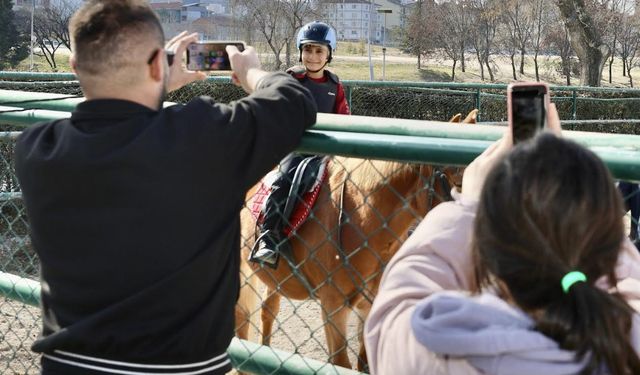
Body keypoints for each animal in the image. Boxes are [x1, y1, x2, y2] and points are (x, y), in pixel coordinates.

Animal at [234, 111, 476, 370]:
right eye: (459, 183)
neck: (362, 218)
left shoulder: (370, 304)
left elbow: (365, 363)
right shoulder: (333, 307)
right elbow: (341, 363)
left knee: (267, 311)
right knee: (242, 320)